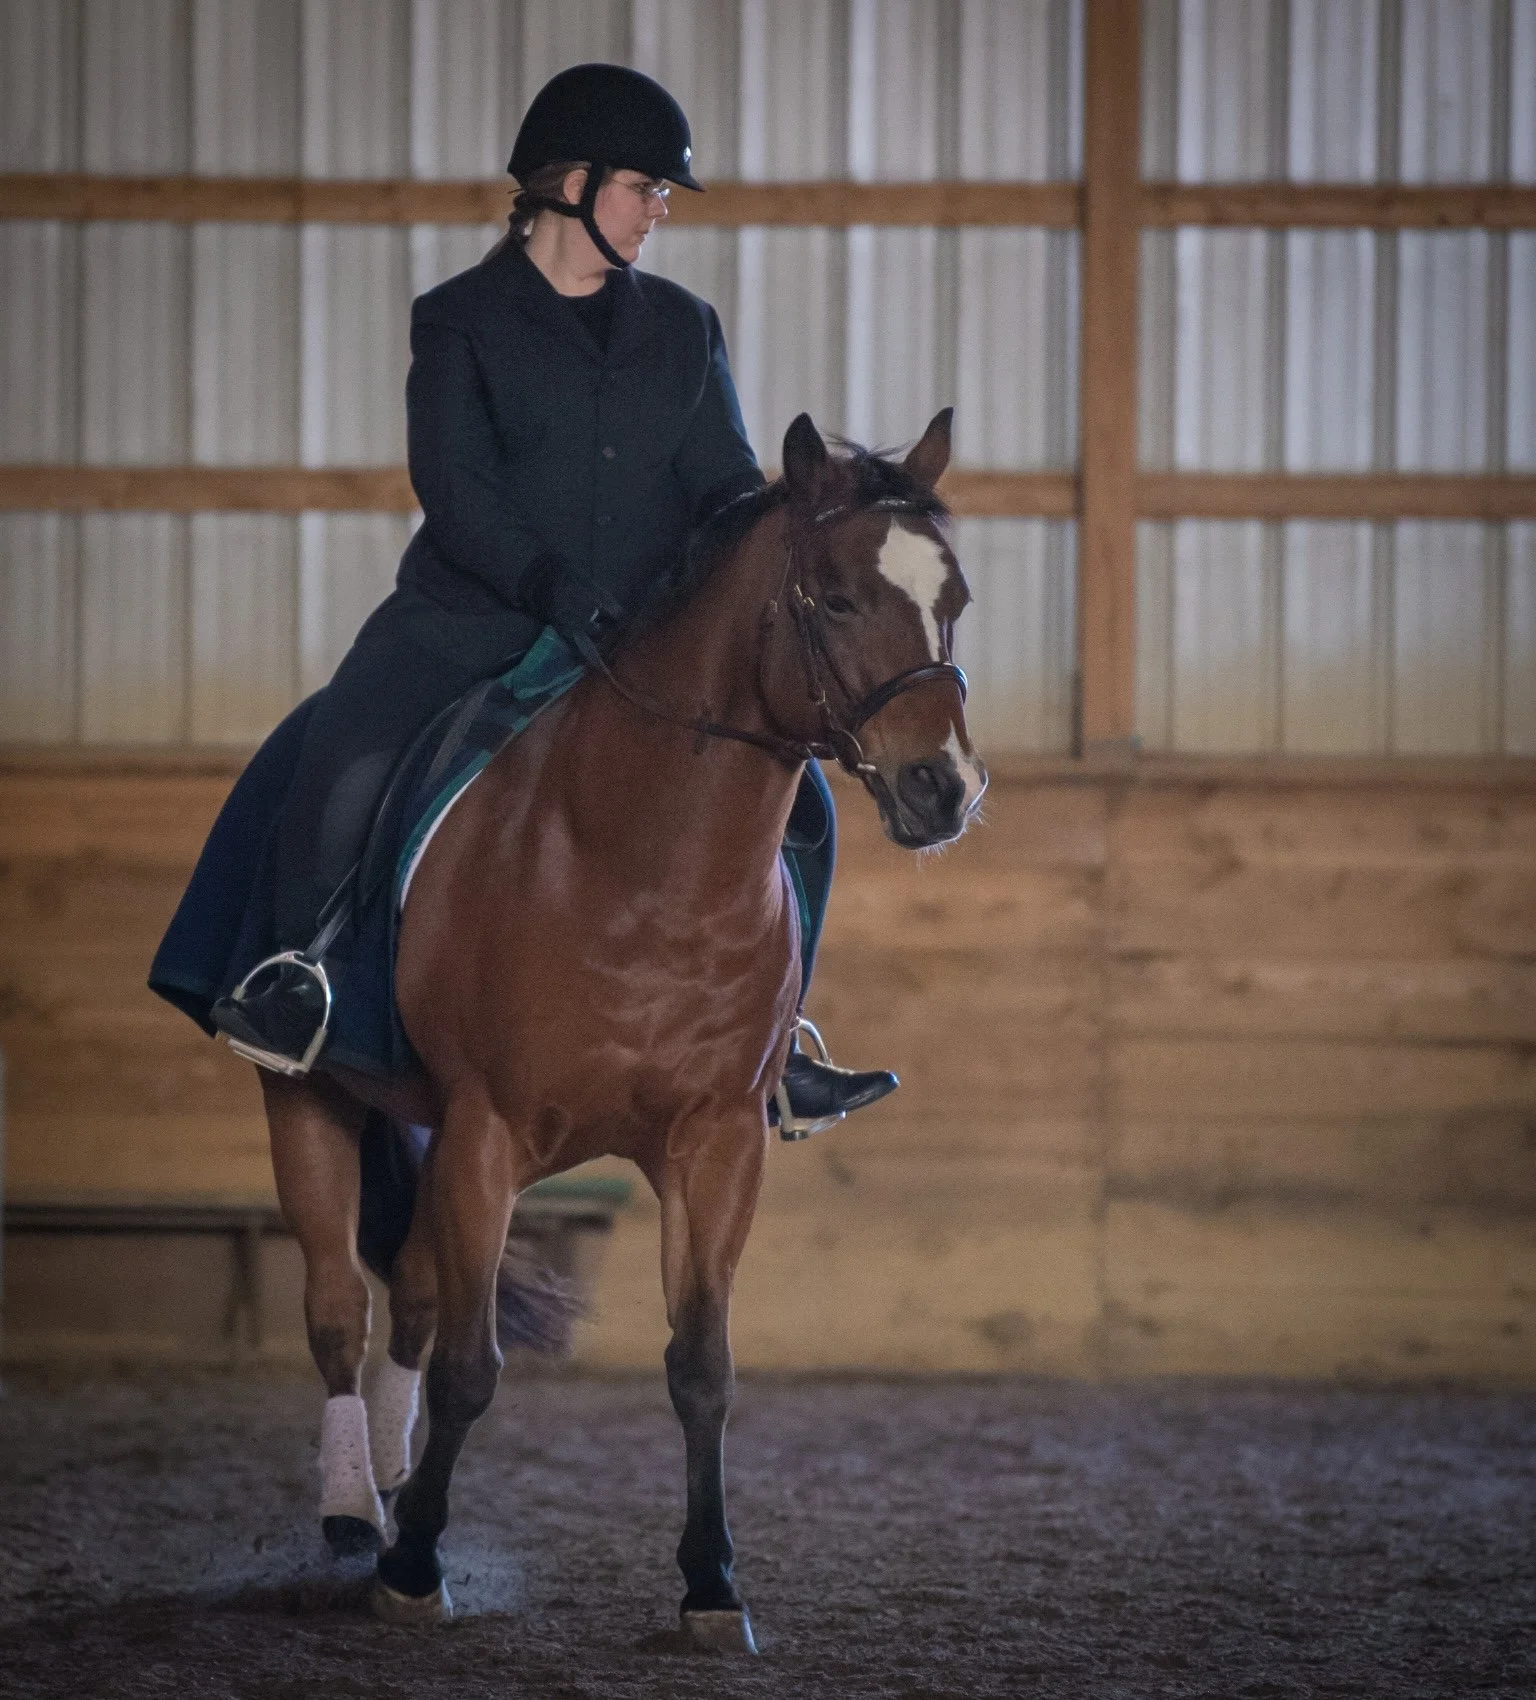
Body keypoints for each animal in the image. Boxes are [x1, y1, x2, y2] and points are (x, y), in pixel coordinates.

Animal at [260, 406, 987, 1648]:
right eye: (839, 597)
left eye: (958, 597)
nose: (945, 789)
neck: (644, 862)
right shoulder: (488, 1131)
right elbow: (471, 1366)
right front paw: (413, 1567)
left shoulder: (716, 1142)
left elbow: (702, 1364)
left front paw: (711, 1582)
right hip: (311, 1095)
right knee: (337, 1308)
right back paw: (360, 1512)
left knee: (406, 1297)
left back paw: (394, 1485)